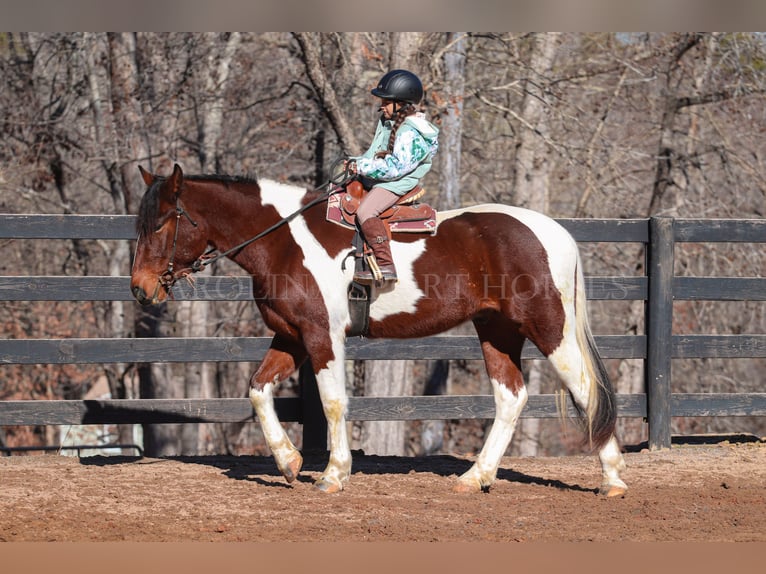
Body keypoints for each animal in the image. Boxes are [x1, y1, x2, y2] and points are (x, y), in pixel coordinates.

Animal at [130, 164, 632, 498]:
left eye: (161, 223)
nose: (140, 289)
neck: (284, 240)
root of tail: (555, 233)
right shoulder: (291, 335)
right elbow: (257, 389)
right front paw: (289, 462)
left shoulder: (322, 336)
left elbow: (333, 402)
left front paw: (334, 474)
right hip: (497, 331)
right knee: (511, 396)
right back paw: (475, 477)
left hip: (550, 329)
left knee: (586, 389)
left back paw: (612, 478)